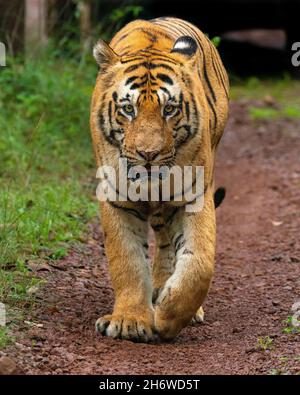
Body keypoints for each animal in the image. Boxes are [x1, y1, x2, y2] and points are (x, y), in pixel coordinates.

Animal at [89, 16, 230, 344]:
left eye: (169, 109)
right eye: (128, 109)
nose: (148, 154)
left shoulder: (194, 195)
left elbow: (199, 263)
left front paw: (167, 316)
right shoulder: (116, 197)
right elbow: (127, 260)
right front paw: (129, 321)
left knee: (169, 245)